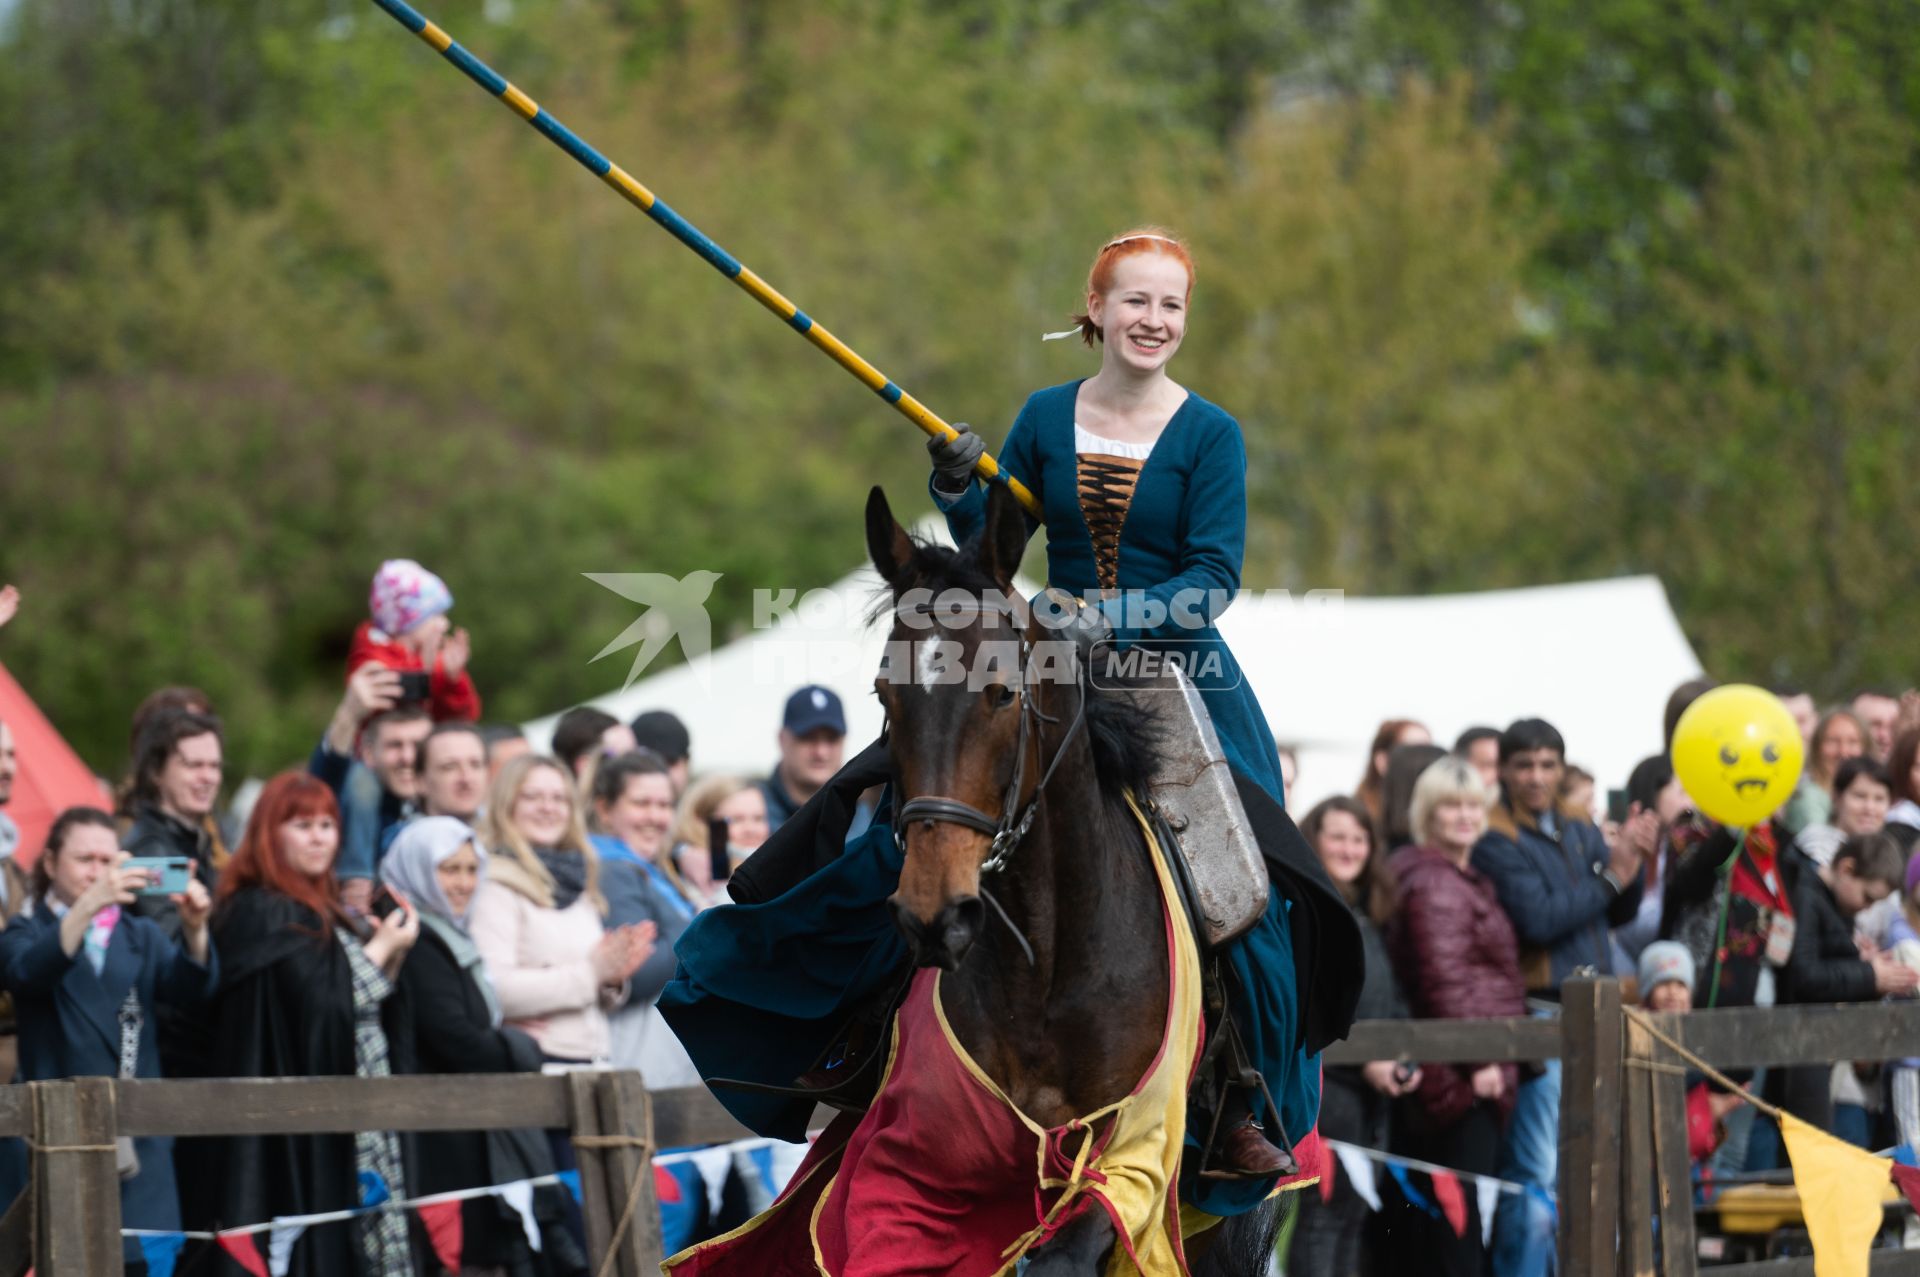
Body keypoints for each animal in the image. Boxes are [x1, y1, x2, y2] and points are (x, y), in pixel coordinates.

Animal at [867, 483, 1282, 1267]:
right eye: (884, 695)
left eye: (1002, 693)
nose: (934, 912)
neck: (1047, 963)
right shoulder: (927, 1162)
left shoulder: (1132, 1155)